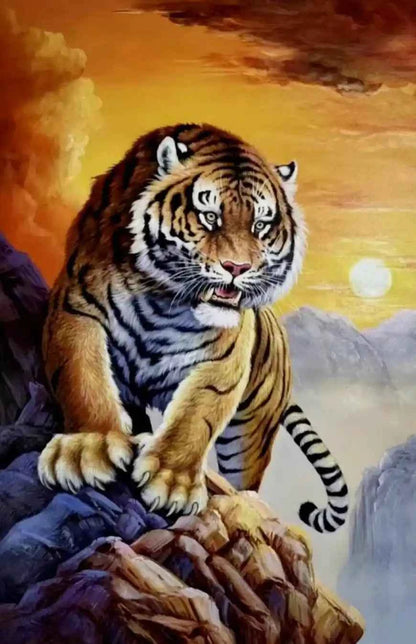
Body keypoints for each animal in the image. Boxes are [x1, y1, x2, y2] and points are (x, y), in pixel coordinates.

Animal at [38, 123, 348, 534]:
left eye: (260, 225)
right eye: (210, 216)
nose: (237, 267)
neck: (162, 300)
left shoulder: (224, 358)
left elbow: (195, 415)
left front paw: (172, 483)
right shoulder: (76, 307)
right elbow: (81, 377)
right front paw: (85, 449)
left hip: (250, 433)